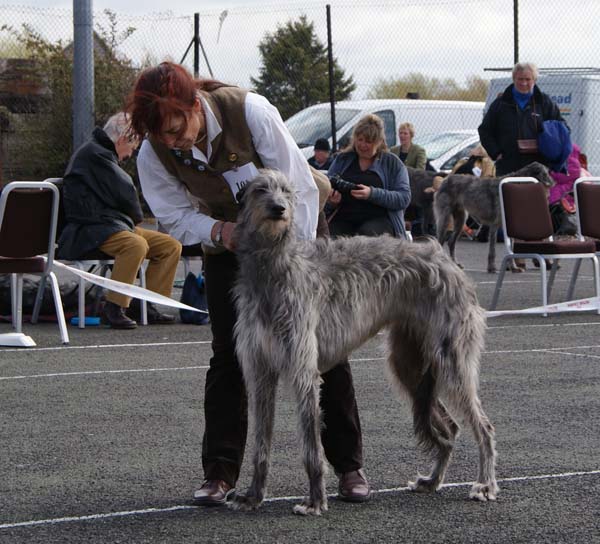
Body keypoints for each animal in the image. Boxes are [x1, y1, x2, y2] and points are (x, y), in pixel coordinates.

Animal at [230, 169, 496, 516]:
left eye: (286, 191)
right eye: (260, 190)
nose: (278, 209)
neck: (275, 265)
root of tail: (450, 265)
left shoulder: (303, 370)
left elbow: (311, 448)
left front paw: (315, 501)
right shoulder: (259, 371)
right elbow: (260, 443)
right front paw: (252, 495)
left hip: (452, 359)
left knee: (484, 426)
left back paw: (485, 485)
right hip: (409, 365)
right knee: (449, 429)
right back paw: (432, 480)